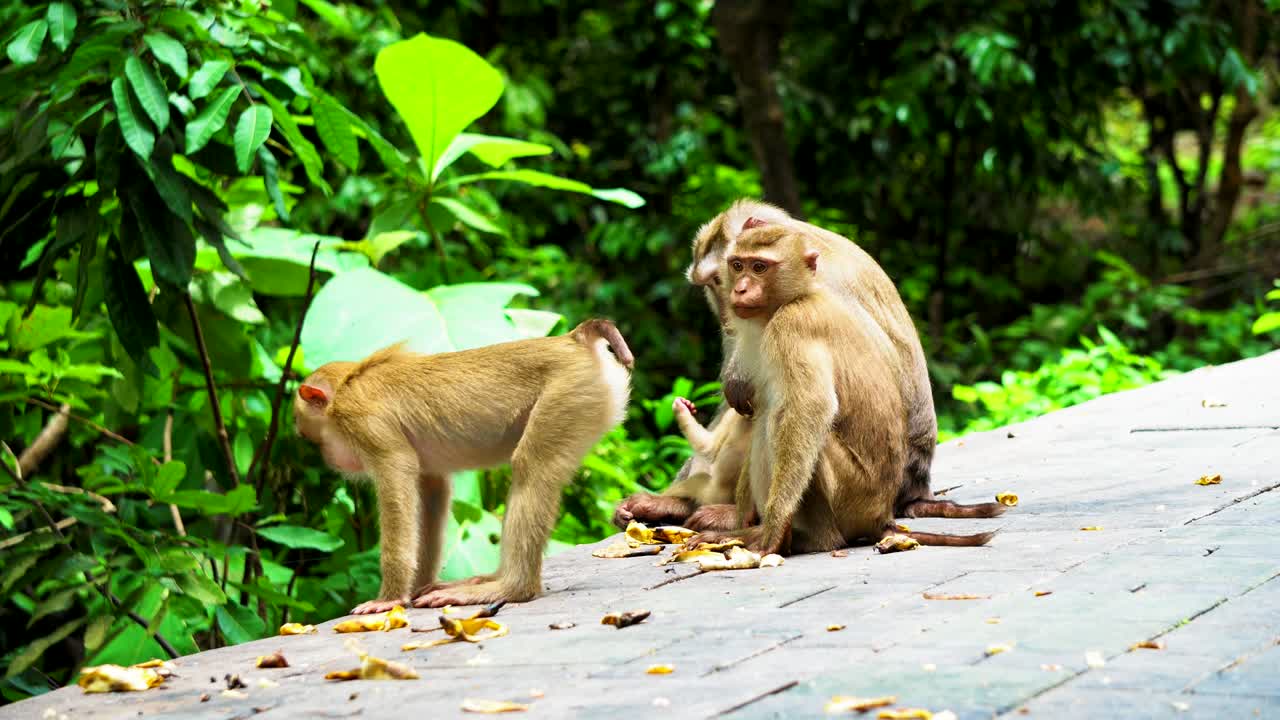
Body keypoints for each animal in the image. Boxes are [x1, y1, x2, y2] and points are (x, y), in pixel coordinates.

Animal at [294, 319, 633, 613]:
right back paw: (490, 579)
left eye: (313, 438)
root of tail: (574, 339)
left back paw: (511, 587)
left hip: (571, 393)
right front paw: (416, 586)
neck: (346, 384)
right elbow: (433, 489)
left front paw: (389, 598)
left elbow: (396, 468)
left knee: (532, 465)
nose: (330, 459)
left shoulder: (360, 420)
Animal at [684, 224, 995, 555]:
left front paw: (772, 529)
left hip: (850, 497)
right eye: (737, 265)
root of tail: (881, 518)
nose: (739, 290)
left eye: (759, 267)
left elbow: (810, 409)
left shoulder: (791, 327)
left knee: (781, 420)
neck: (801, 295)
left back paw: (808, 538)